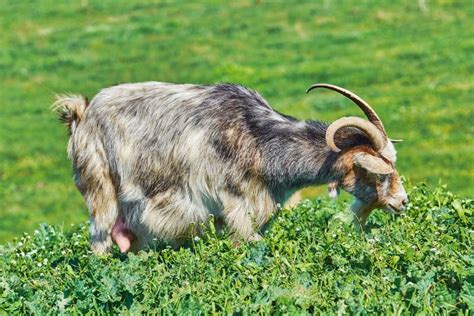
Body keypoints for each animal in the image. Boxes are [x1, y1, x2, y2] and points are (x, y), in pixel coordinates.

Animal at [52, 82, 408, 254]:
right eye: (379, 170)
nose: (402, 201)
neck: (258, 140)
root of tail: (81, 113)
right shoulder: (237, 208)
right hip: (99, 186)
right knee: (99, 242)